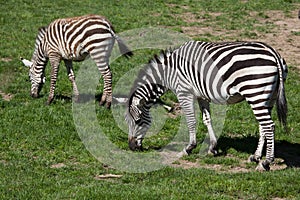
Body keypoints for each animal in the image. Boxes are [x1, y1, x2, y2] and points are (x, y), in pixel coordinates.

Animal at [125, 40, 288, 170]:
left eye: (137, 121)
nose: (132, 147)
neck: (168, 72)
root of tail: (273, 52)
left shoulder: (184, 92)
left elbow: (191, 121)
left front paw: (189, 148)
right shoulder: (201, 96)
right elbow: (207, 119)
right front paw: (212, 148)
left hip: (255, 93)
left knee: (269, 126)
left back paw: (266, 162)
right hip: (267, 97)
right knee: (263, 126)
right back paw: (255, 157)